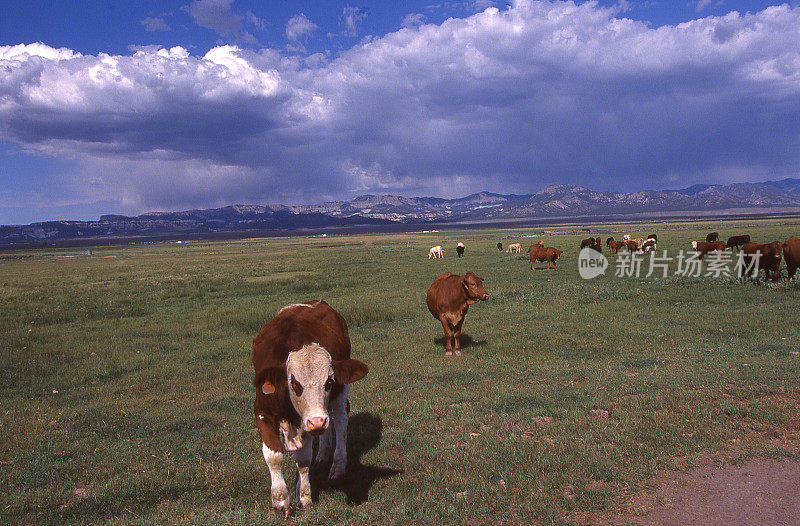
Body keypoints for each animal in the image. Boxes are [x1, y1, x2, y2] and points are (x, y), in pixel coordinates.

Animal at [252, 304, 370, 516]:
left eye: (329, 381)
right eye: (294, 383)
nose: (317, 421)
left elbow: (303, 460)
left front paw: (304, 496)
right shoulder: (262, 411)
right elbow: (274, 457)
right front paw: (280, 500)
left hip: (341, 393)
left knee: (340, 420)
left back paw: (337, 465)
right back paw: (322, 455)